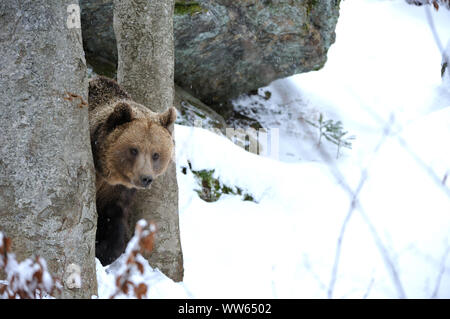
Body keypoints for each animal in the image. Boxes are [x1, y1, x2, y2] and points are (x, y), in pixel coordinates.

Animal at [87, 76, 177, 266]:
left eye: (155, 154)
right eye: (134, 150)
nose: (146, 178)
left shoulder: (120, 190)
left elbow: (114, 218)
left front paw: (106, 251)